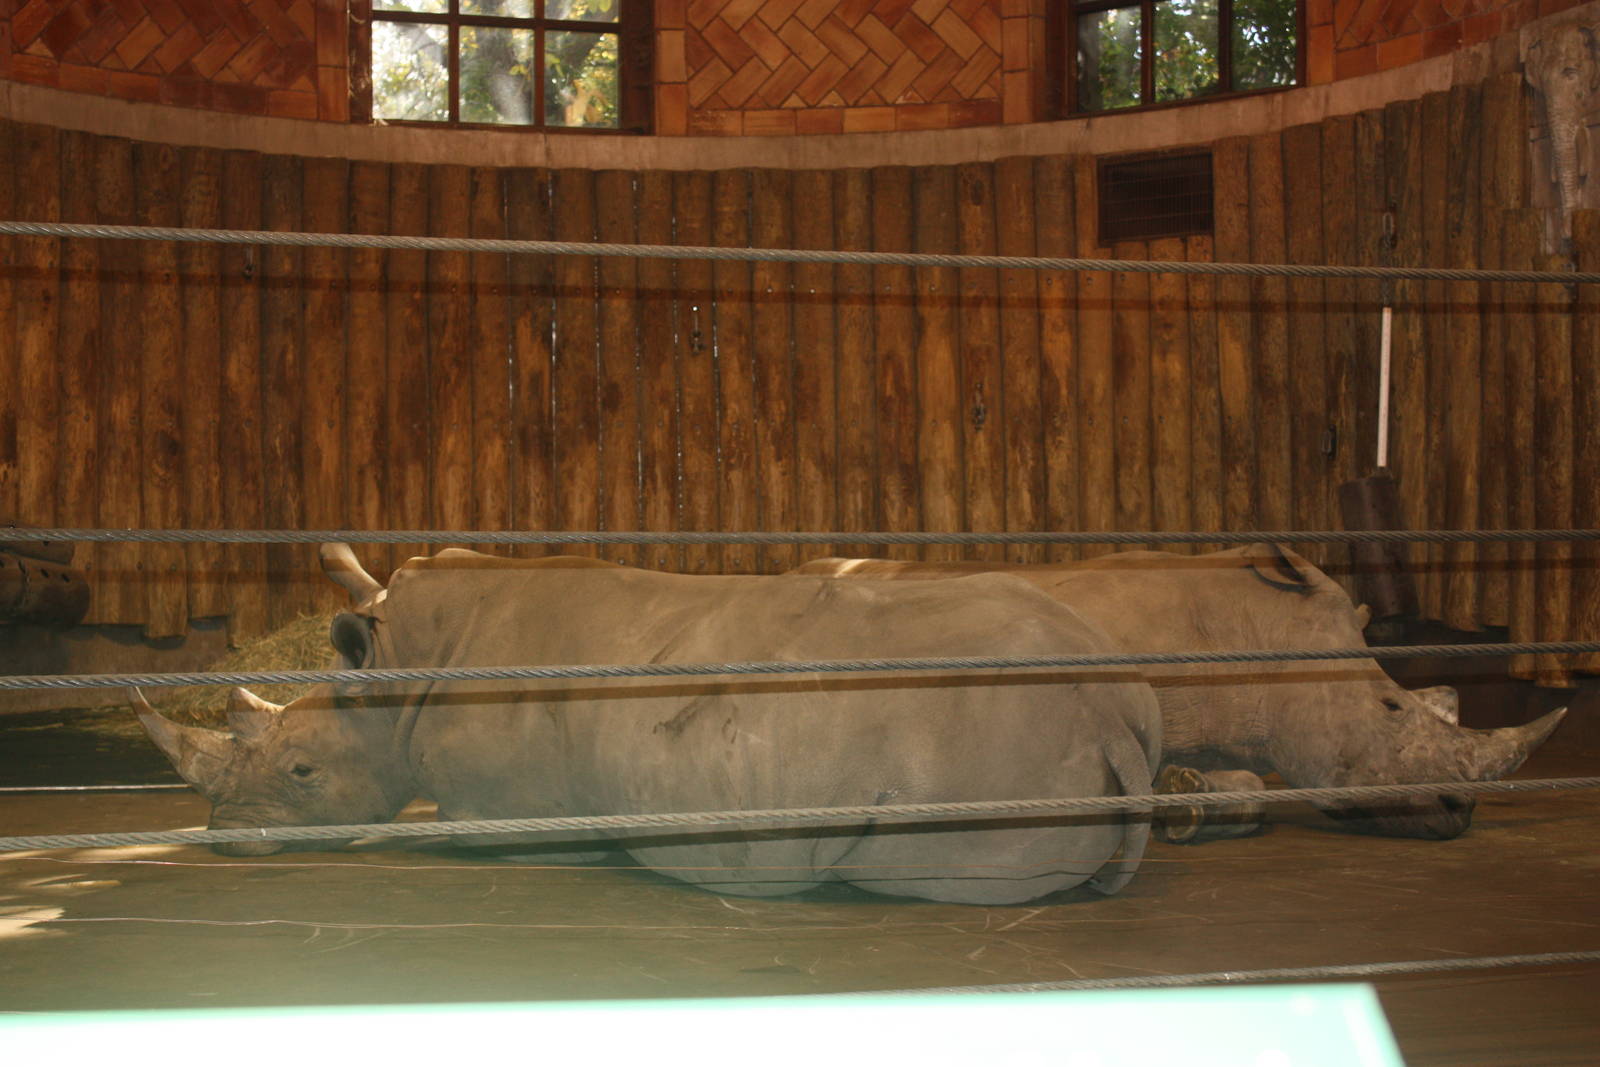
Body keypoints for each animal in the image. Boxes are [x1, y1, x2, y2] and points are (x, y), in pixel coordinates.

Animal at [134, 545, 1163, 906]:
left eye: (301, 773)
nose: (223, 836)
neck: (394, 676)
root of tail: (1111, 714)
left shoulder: (498, 808)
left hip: (983, 720)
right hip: (1098, 685)